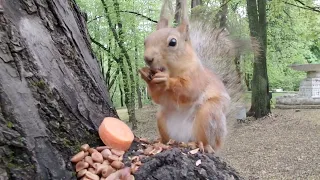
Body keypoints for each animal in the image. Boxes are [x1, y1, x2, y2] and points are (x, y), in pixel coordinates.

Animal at [139, 0, 254, 152]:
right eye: (145, 41)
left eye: (173, 42)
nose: (148, 58)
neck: (172, 71)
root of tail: (183, 138)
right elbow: (159, 98)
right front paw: (147, 77)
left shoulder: (198, 76)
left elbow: (189, 90)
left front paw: (166, 81)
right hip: (161, 118)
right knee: (167, 136)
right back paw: (161, 141)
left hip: (209, 115)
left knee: (206, 141)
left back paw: (202, 145)